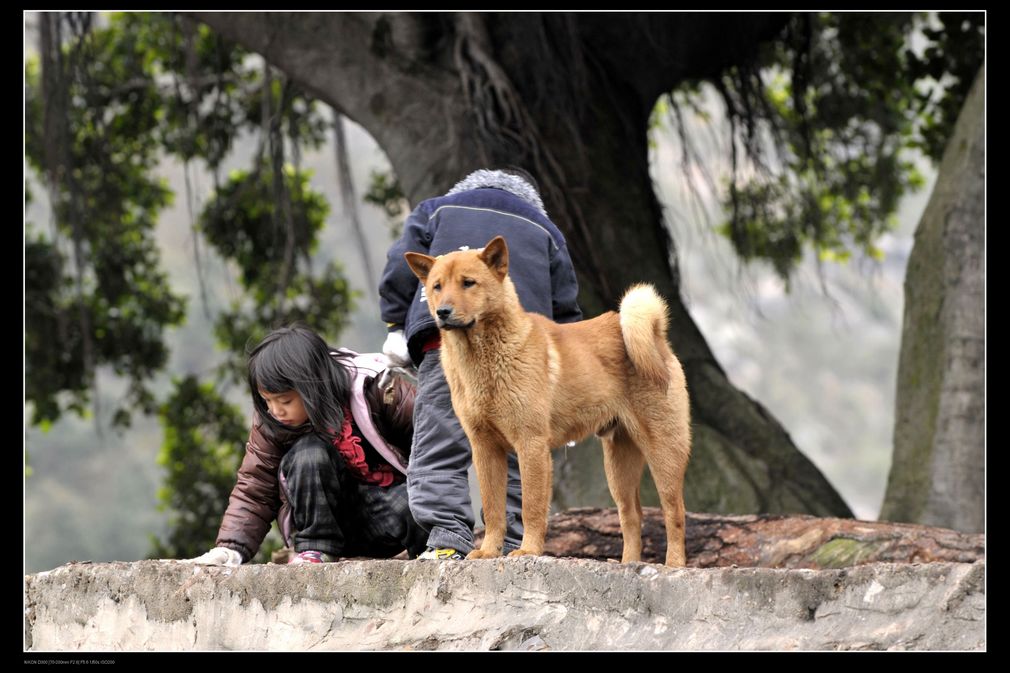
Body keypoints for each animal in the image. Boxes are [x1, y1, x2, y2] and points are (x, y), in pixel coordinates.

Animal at [406, 238, 690, 561]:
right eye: (437, 286)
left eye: (468, 283)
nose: (443, 311)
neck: (485, 360)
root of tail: (656, 336)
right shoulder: (485, 449)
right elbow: (493, 510)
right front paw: (488, 552)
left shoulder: (531, 445)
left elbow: (530, 507)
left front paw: (528, 550)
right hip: (618, 466)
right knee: (632, 517)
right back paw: (628, 563)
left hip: (663, 451)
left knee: (674, 513)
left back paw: (673, 564)